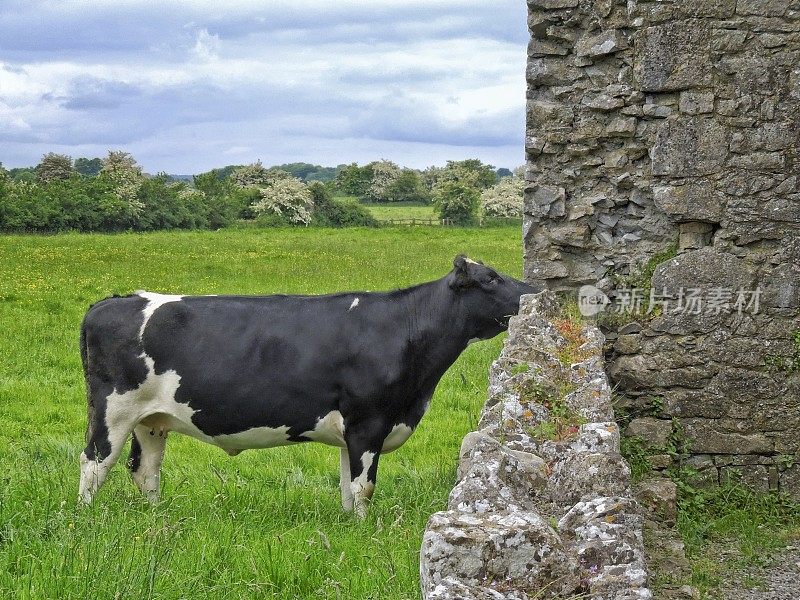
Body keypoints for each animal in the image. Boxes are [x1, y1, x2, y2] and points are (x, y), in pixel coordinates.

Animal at [79, 255, 536, 516]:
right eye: (491, 278)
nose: (534, 291)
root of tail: (114, 299)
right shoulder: (369, 421)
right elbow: (364, 487)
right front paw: (364, 532)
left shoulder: (353, 431)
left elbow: (348, 487)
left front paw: (349, 527)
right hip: (113, 411)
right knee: (94, 462)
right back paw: (84, 521)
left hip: (151, 419)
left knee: (145, 471)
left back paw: (157, 521)